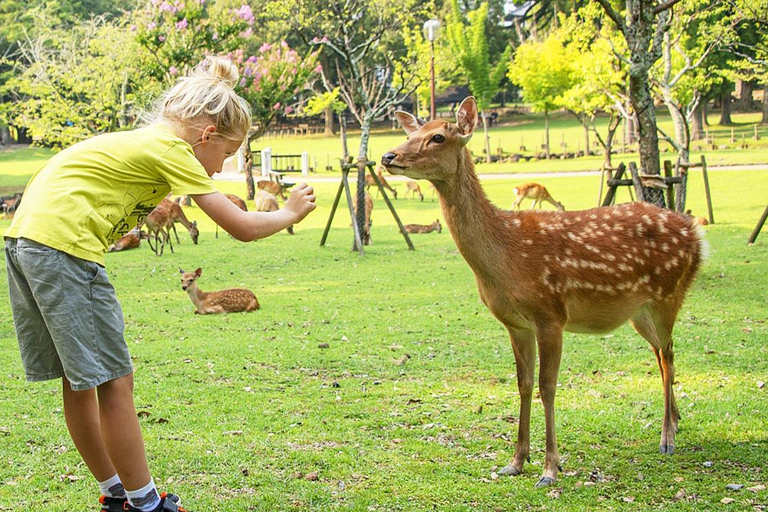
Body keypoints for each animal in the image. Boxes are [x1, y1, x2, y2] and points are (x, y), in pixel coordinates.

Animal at [384, 97, 708, 488]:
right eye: (410, 133)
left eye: (437, 137)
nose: (388, 156)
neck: (506, 255)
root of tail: (696, 232)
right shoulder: (515, 323)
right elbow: (523, 384)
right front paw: (516, 461)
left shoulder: (551, 314)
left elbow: (547, 386)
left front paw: (551, 469)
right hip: (639, 311)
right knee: (663, 353)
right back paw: (676, 422)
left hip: (668, 294)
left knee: (668, 355)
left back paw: (667, 438)